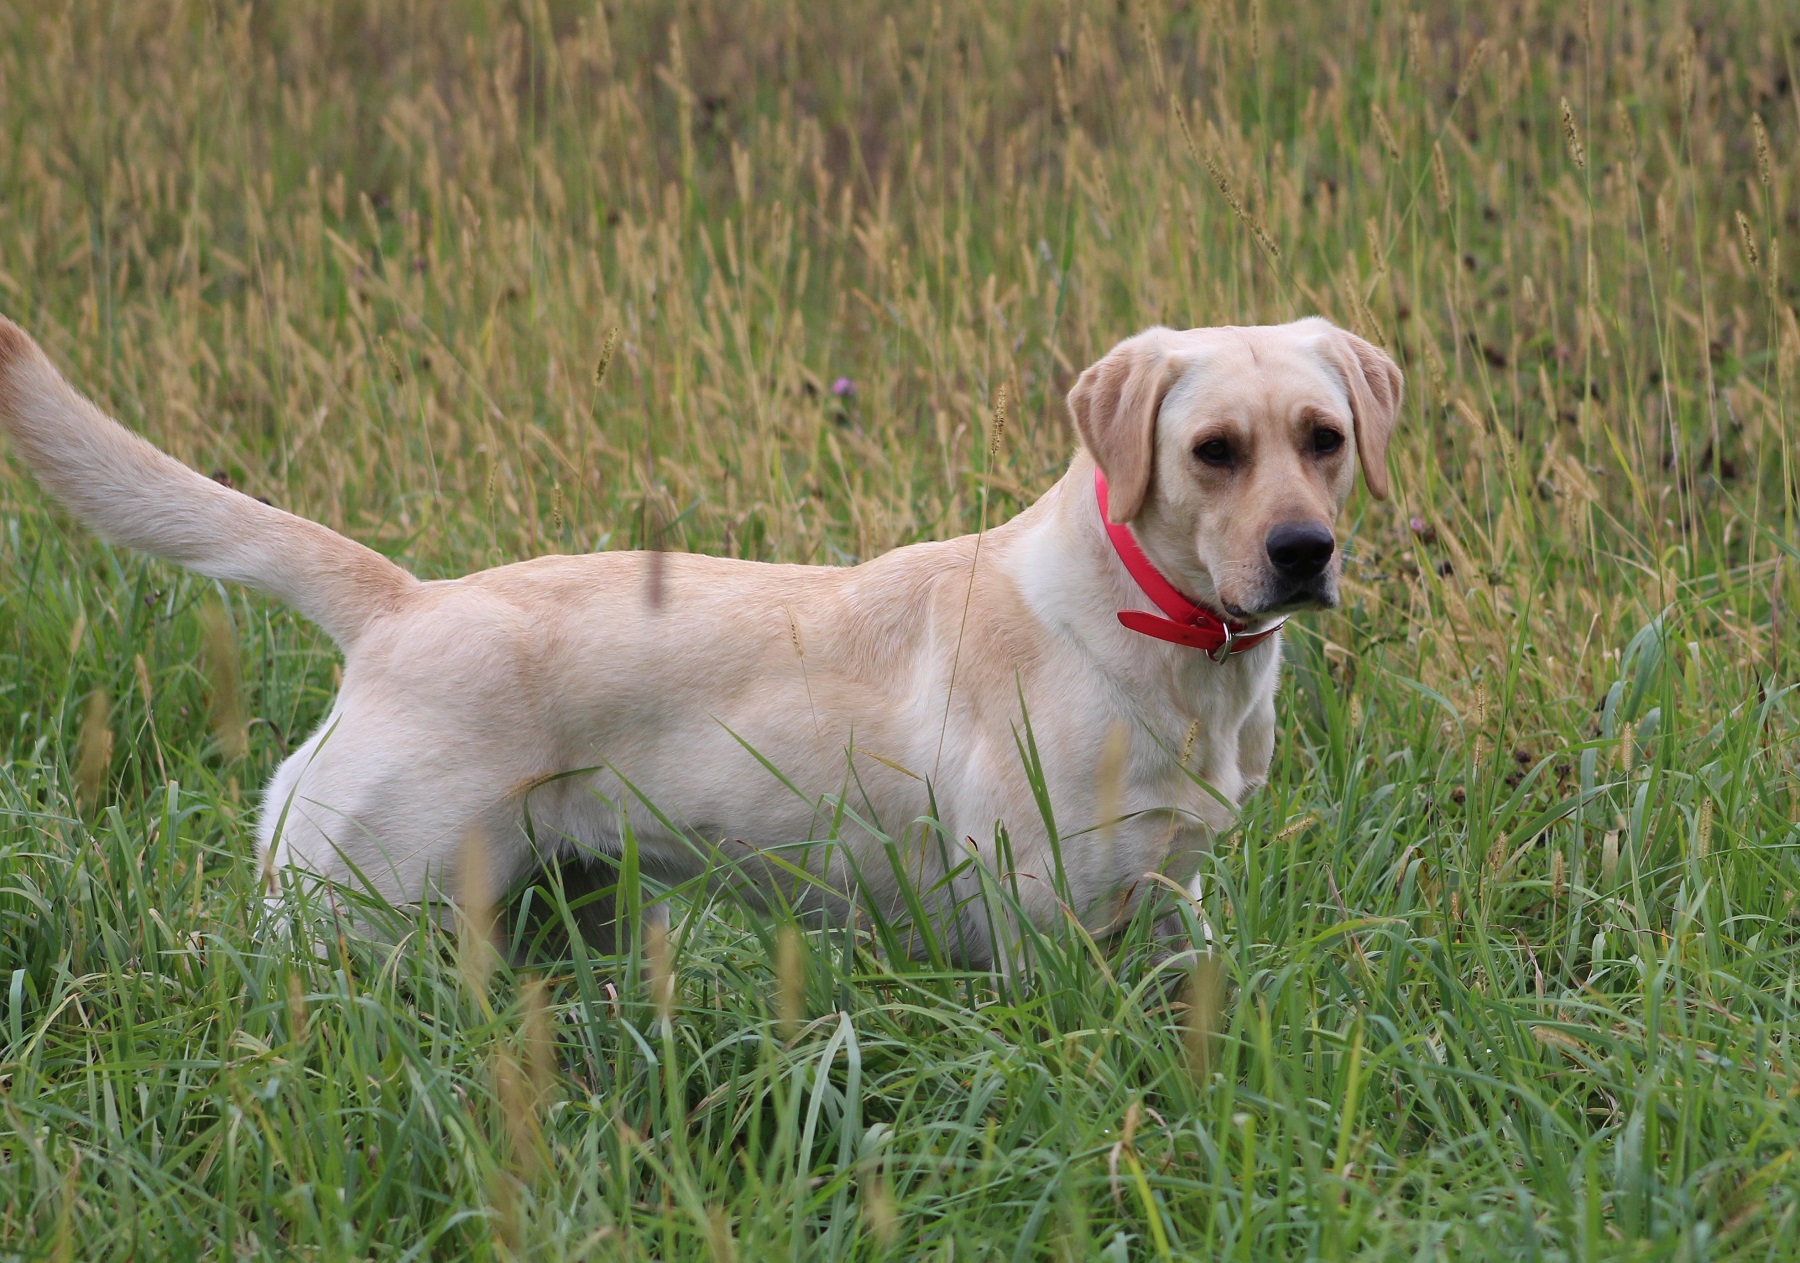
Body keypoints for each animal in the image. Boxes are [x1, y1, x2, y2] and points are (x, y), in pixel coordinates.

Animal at [0, 316, 1404, 971]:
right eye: (1213, 451)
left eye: (1323, 438)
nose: (1303, 552)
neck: (1156, 630)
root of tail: (402, 604)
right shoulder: (1033, 924)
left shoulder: (1171, 909)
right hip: (349, 917)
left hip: (553, 922)